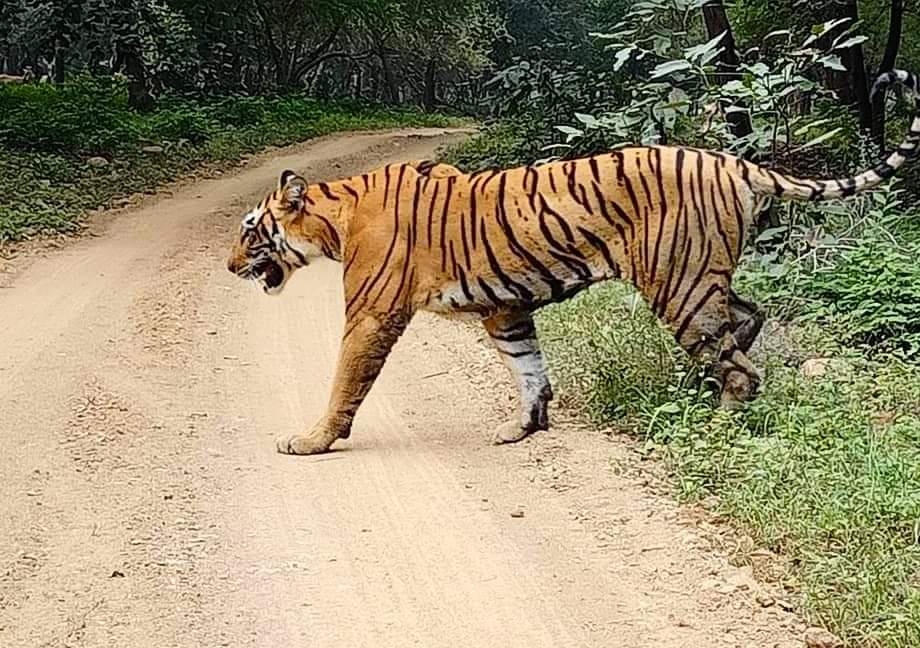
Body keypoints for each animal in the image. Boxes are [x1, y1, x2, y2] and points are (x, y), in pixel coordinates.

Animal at [225, 69, 920, 456]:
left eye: (249, 232)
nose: (229, 267)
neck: (334, 219)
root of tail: (733, 161)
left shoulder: (371, 314)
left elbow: (345, 380)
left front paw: (312, 440)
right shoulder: (505, 307)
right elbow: (528, 368)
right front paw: (525, 427)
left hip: (680, 285)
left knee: (743, 368)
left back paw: (716, 421)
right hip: (701, 280)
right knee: (747, 321)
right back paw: (702, 385)